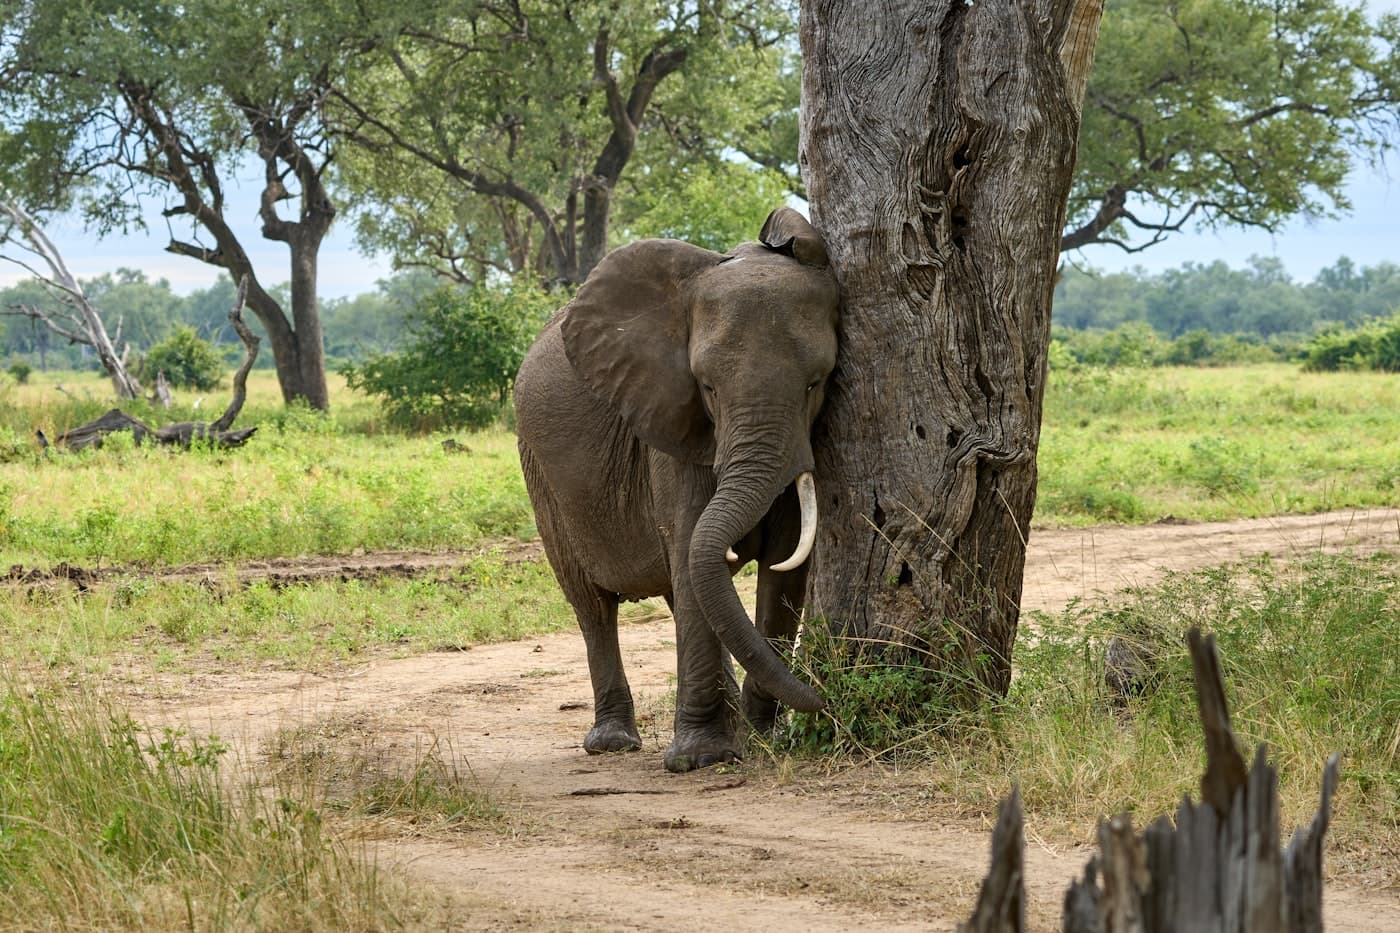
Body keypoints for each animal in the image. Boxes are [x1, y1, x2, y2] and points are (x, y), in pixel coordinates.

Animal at [514, 207, 838, 773]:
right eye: (706, 387)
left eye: (814, 384)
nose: (825, 701)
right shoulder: (672, 431)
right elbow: (692, 549)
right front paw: (701, 758)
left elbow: (784, 566)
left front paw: (761, 737)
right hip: (540, 475)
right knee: (592, 606)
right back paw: (613, 742)